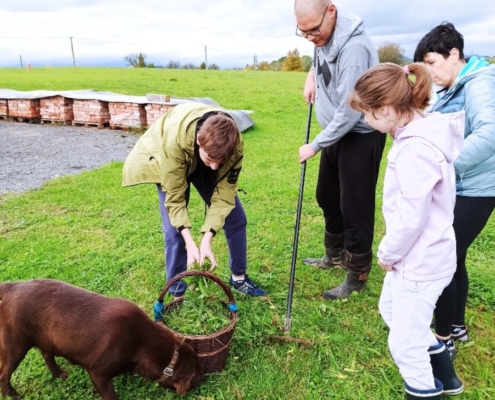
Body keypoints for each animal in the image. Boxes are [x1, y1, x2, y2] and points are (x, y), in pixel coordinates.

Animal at [0, 280, 203, 398]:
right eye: (196, 375)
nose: (204, 378)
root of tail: (12, 286)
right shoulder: (98, 373)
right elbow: (111, 396)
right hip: (14, 344)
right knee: (4, 374)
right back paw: (13, 394)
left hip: (45, 337)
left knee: (46, 354)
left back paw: (59, 374)